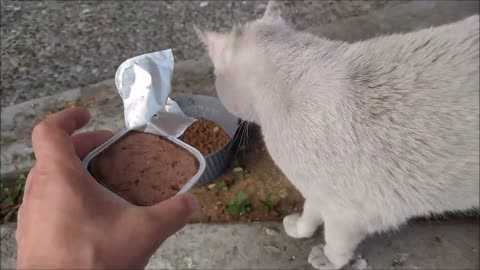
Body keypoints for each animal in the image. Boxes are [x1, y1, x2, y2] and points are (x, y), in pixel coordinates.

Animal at [194, 2, 476, 270]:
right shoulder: (324, 194)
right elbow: (312, 214)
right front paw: (302, 230)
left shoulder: (344, 209)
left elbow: (331, 236)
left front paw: (324, 255)